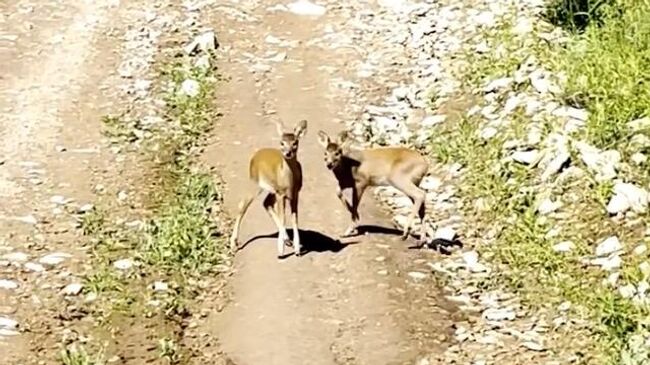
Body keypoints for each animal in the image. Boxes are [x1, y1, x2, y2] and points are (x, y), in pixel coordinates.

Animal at [229, 118, 308, 258]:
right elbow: (283, 218)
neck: (289, 181)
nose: (288, 153)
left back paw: (287, 239)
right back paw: (233, 245)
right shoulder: (281, 193)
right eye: (282, 142)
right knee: (242, 205)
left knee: (266, 203)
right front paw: (281, 251)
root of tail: (255, 155)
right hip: (254, 182)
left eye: (295, 143)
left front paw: (297, 249)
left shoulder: (295, 193)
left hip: (272, 189)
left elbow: (294, 219)